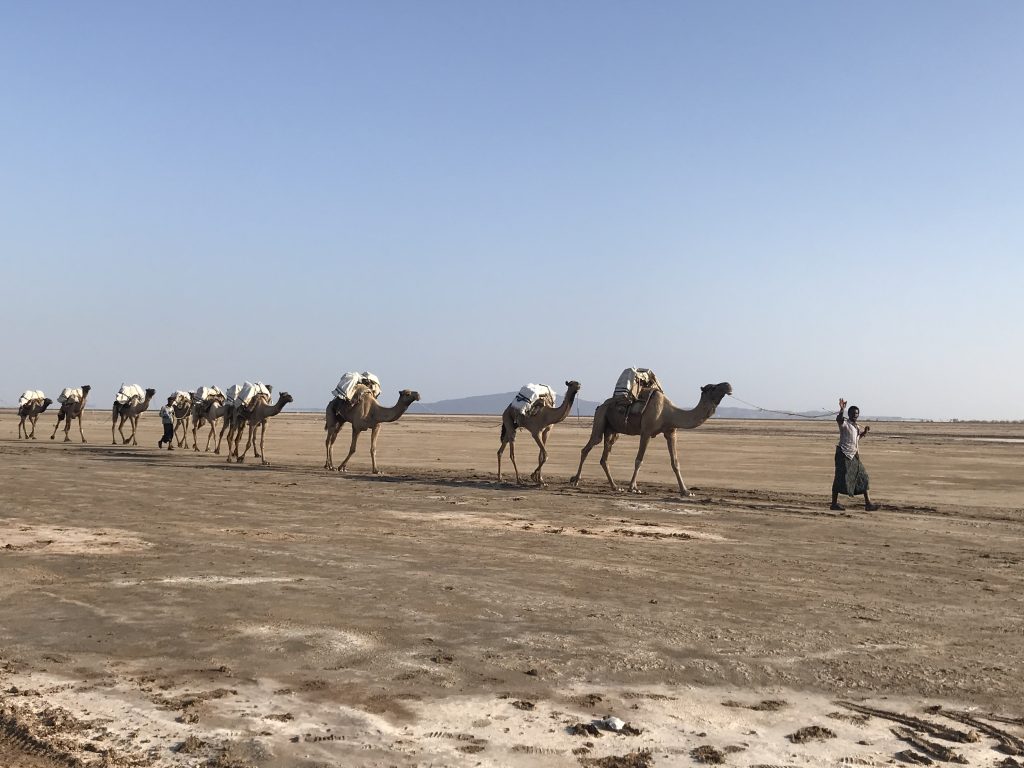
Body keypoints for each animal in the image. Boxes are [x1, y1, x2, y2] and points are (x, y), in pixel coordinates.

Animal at [573, 382, 733, 495]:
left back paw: (615, 487)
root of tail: (599, 406)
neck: (669, 413)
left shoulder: (671, 433)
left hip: (612, 431)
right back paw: (576, 481)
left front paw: (686, 491)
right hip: (600, 419)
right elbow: (639, 460)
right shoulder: (646, 432)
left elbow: (675, 462)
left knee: (604, 457)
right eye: (712, 387)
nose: (728, 385)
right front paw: (633, 487)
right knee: (587, 448)